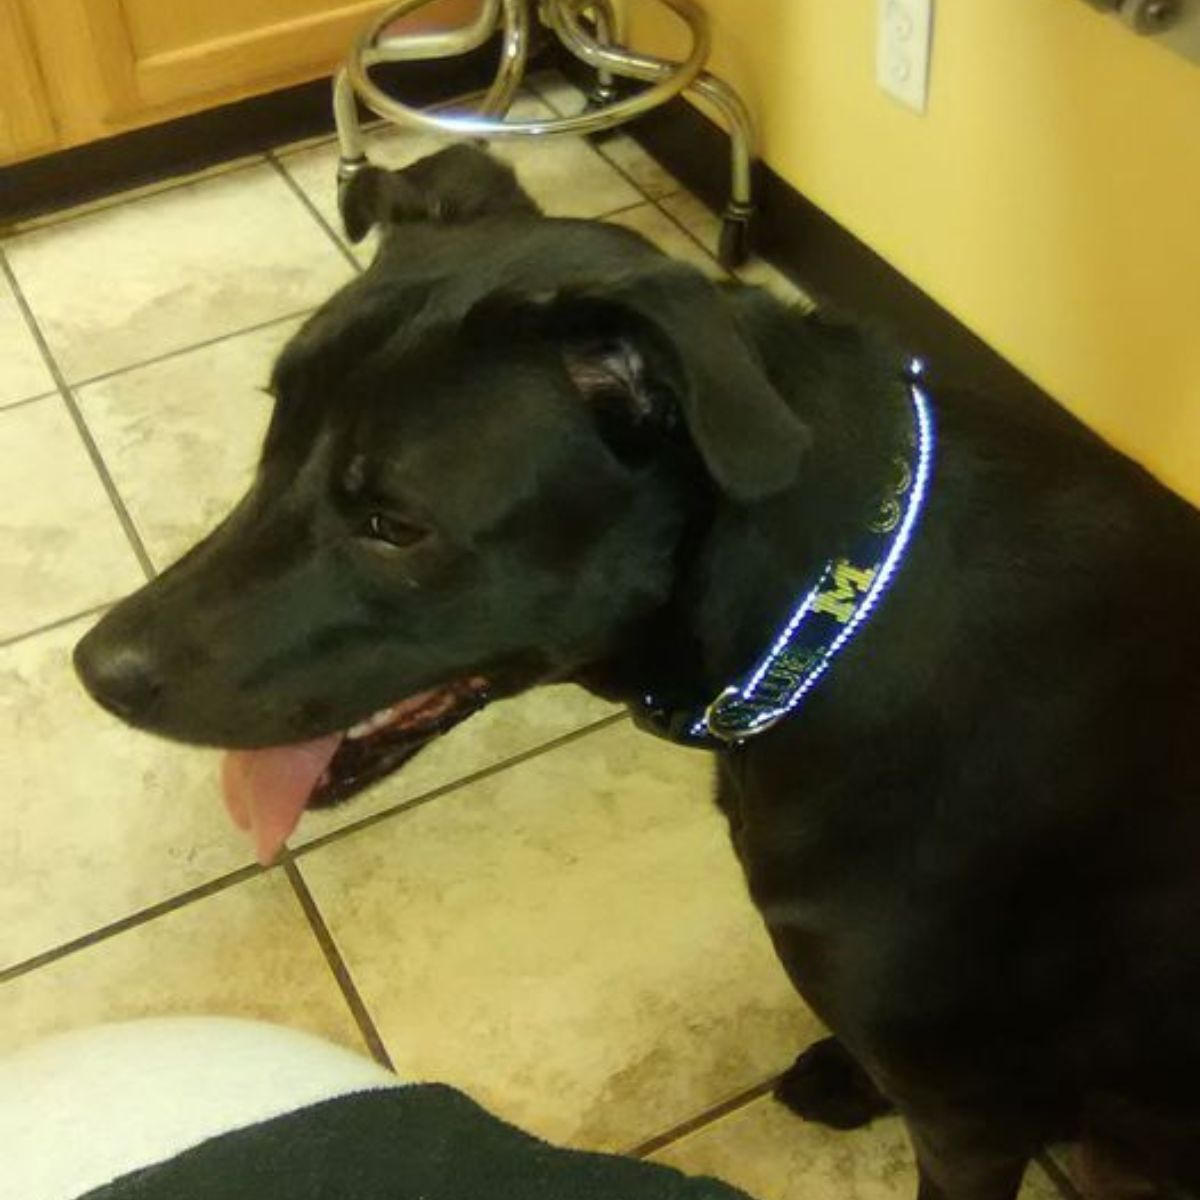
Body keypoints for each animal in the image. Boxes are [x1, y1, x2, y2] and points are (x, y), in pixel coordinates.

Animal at [75, 150, 1200, 1200]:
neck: (829, 615)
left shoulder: (968, 1119)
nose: (95, 670)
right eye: (275, 438)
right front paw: (848, 1077)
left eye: (393, 525)